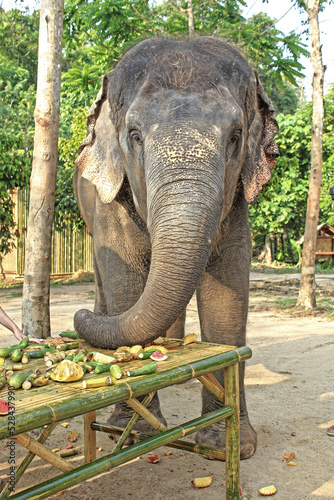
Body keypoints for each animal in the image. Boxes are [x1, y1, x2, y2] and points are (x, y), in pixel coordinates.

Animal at [73, 37, 280, 458]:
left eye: (236, 135)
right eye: (134, 134)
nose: (79, 314)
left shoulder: (234, 200)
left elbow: (228, 287)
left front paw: (228, 445)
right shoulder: (112, 198)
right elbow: (125, 278)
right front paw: (134, 432)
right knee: (105, 279)